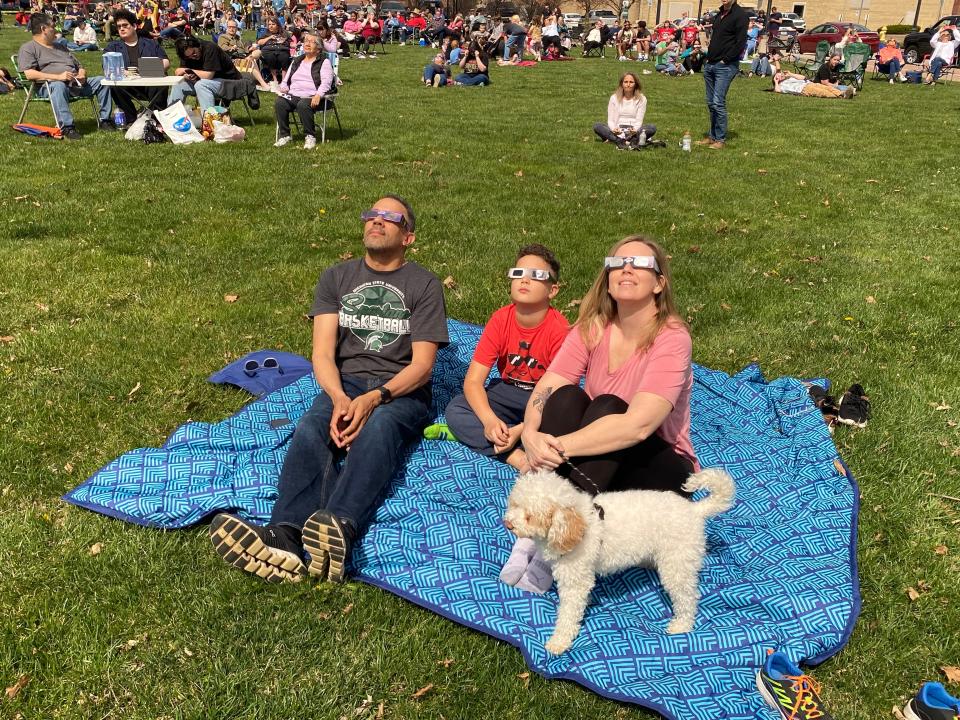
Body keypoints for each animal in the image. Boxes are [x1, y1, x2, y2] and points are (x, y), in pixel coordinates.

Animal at [502, 470, 736, 656]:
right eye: (514, 504)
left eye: (530, 516)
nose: (508, 524)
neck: (578, 525)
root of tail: (695, 511)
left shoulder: (575, 580)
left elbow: (568, 614)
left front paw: (558, 642)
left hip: (677, 563)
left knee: (688, 598)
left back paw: (682, 626)